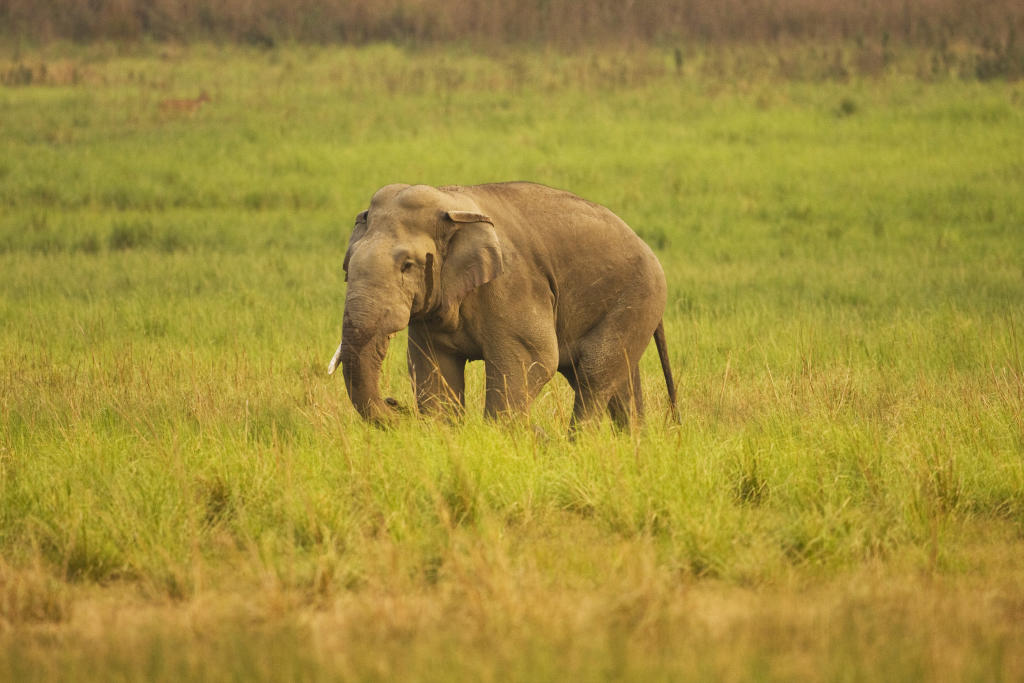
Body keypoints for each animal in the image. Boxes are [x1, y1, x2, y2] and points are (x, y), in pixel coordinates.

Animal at [327, 181, 679, 428]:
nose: (393, 401)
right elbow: (433, 368)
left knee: (594, 374)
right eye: (347, 268)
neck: (451, 202)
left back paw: (576, 444)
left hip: (639, 296)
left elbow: (532, 359)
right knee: (619, 383)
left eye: (407, 266)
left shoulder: (513, 284)